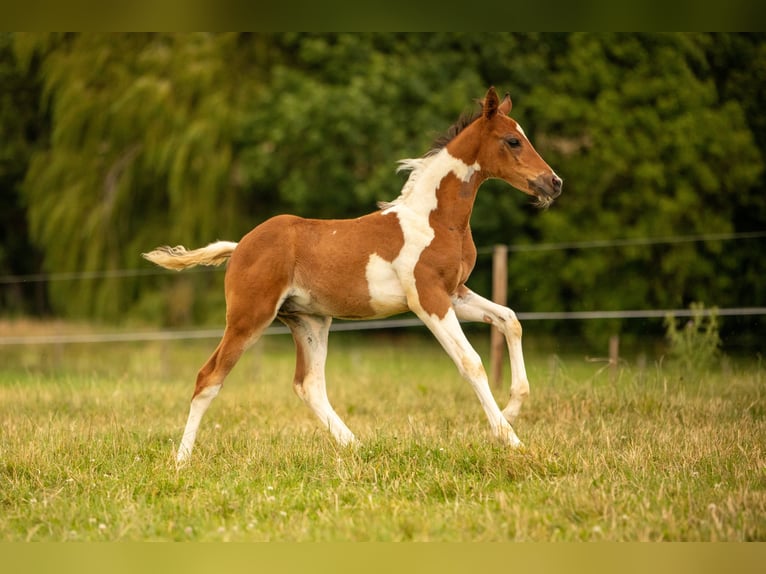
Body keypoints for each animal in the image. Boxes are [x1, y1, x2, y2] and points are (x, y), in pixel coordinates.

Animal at [143, 87, 562, 464]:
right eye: (512, 140)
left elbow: (510, 320)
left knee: (309, 385)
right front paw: (511, 440)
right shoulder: (428, 299)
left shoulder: (455, 293)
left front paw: (511, 410)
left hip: (310, 320)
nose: (554, 183)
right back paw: (182, 460)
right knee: (208, 377)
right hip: (249, 317)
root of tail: (241, 245)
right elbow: (471, 362)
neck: (436, 221)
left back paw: (358, 447)